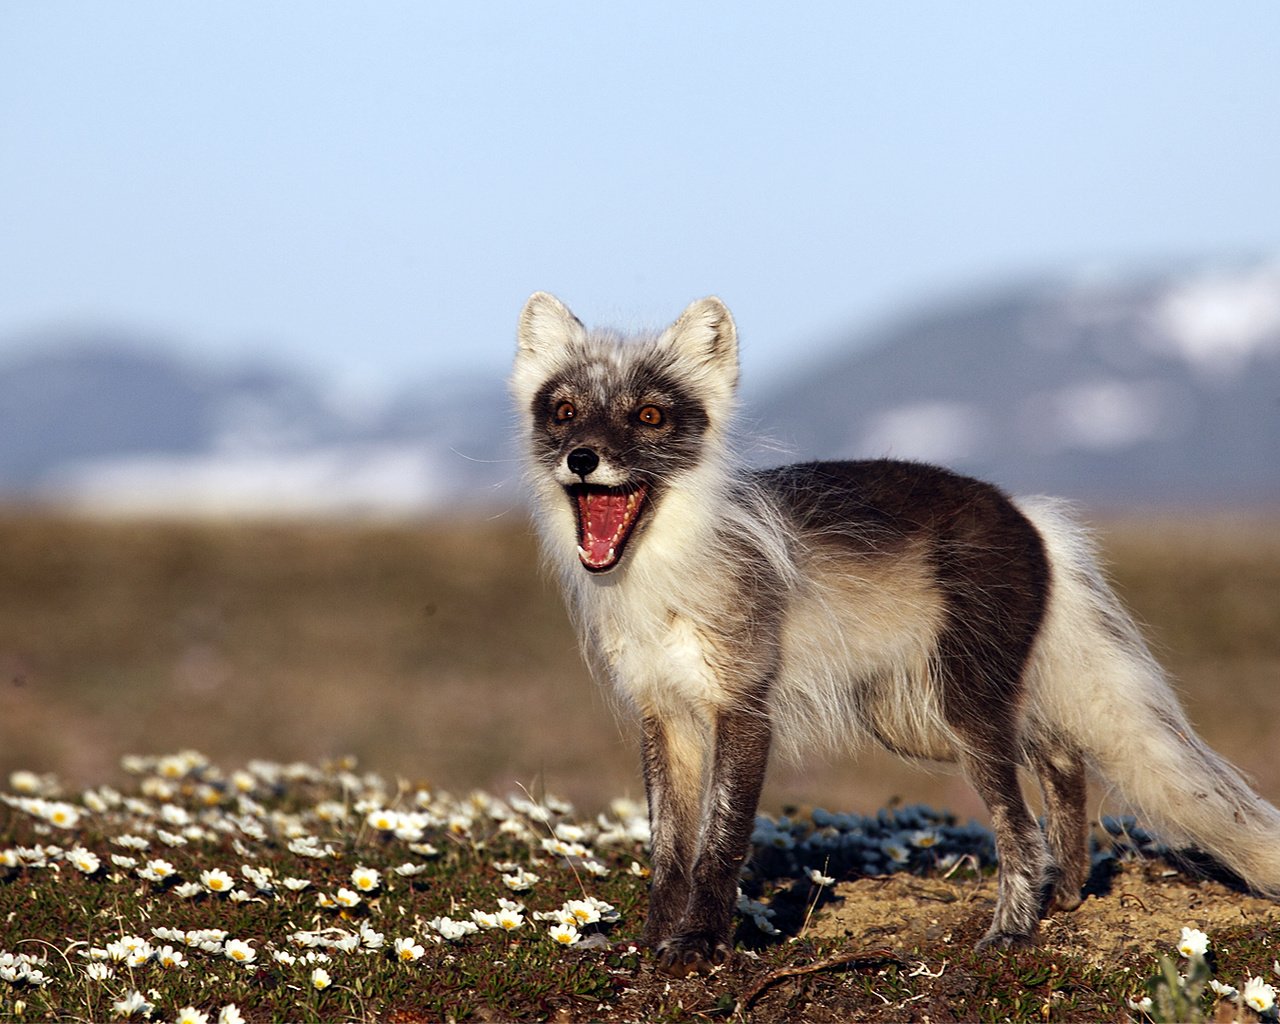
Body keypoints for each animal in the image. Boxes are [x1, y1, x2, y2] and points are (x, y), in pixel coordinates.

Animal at [509, 290, 1280, 977]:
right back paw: (1064, 894)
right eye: (564, 412)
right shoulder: (665, 713)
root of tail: (1028, 514)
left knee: (1020, 826)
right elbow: (668, 848)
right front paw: (652, 943)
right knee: (1063, 758)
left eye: (649, 415)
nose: (582, 458)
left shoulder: (743, 707)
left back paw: (1013, 931)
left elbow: (719, 841)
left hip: (962, 708)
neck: (663, 579)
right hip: (921, 717)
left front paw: (700, 946)